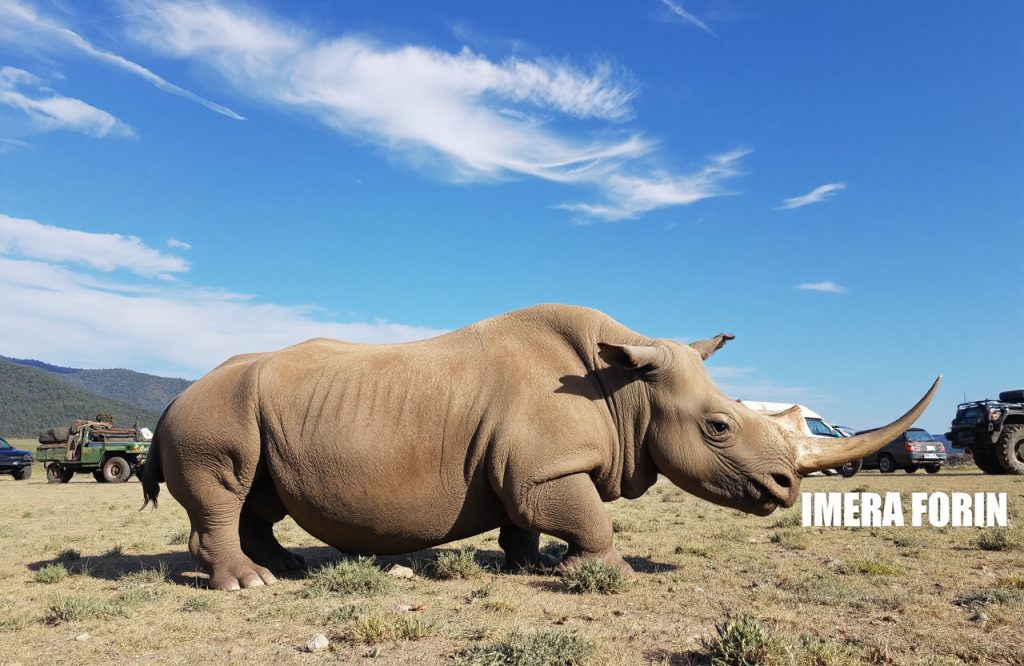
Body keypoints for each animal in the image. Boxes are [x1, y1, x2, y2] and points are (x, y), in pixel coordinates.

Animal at [141, 304, 939, 590]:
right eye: (718, 427)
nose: (784, 489)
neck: (626, 389)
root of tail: (173, 396)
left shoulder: (524, 467)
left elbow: (521, 520)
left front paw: (529, 566)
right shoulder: (545, 468)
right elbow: (588, 518)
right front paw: (604, 571)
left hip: (248, 409)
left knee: (258, 494)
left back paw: (284, 569)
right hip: (212, 412)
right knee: (228, 485)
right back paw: (251, 586)